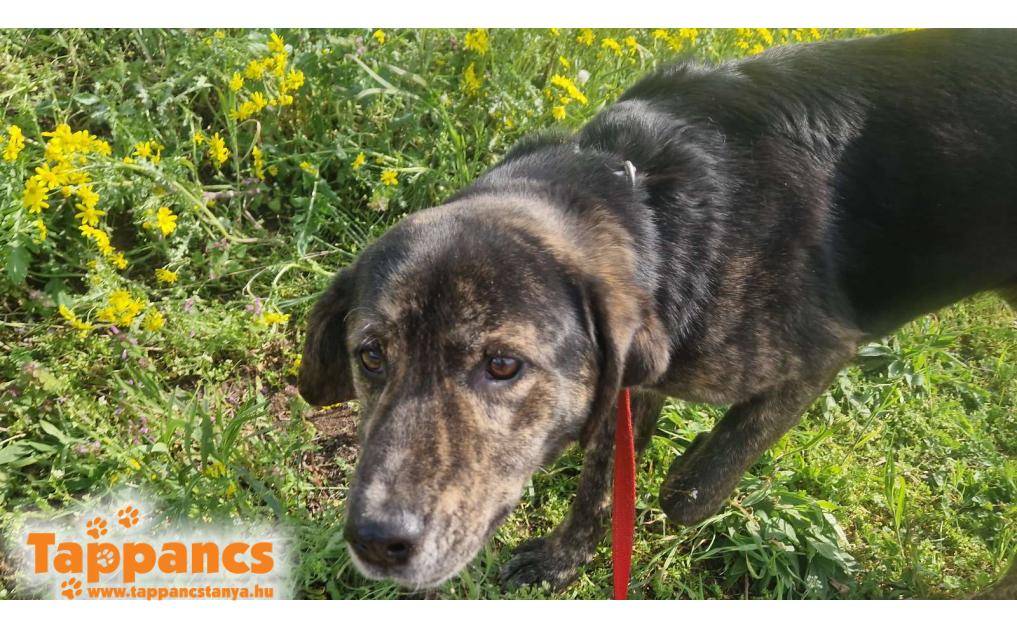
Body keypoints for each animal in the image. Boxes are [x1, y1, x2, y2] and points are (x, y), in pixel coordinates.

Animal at [298, 29, 1017, 597]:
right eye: (370, 356)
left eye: (502, 365)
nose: (375, 541)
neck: (649, 206)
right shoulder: (636, 375)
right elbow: (601, 480)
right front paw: (562, 560)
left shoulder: (822, 353)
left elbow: (687, 489)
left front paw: (691, 467)